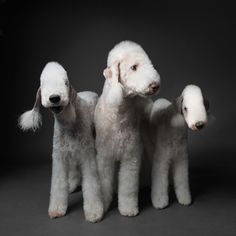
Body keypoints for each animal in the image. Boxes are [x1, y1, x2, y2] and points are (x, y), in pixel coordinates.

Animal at [18, 61, 103, 222]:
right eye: (43, 84)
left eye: (65, 83)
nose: (55, 98)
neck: (68, 122)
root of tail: (90, 92)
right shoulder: (60, 156)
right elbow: (58, 183)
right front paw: (57, 210)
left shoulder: (87, 154)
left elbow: (91, 182)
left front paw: (94, 212)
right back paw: (72, 185)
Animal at [94, 40, 160, 216]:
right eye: (134, 67)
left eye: (149, 63)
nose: (155, 85)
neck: (119, 112)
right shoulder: (104, 156)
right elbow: (104, 183)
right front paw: (103, 206)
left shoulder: (131, 156)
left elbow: (128, 185)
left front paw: (129, 209)